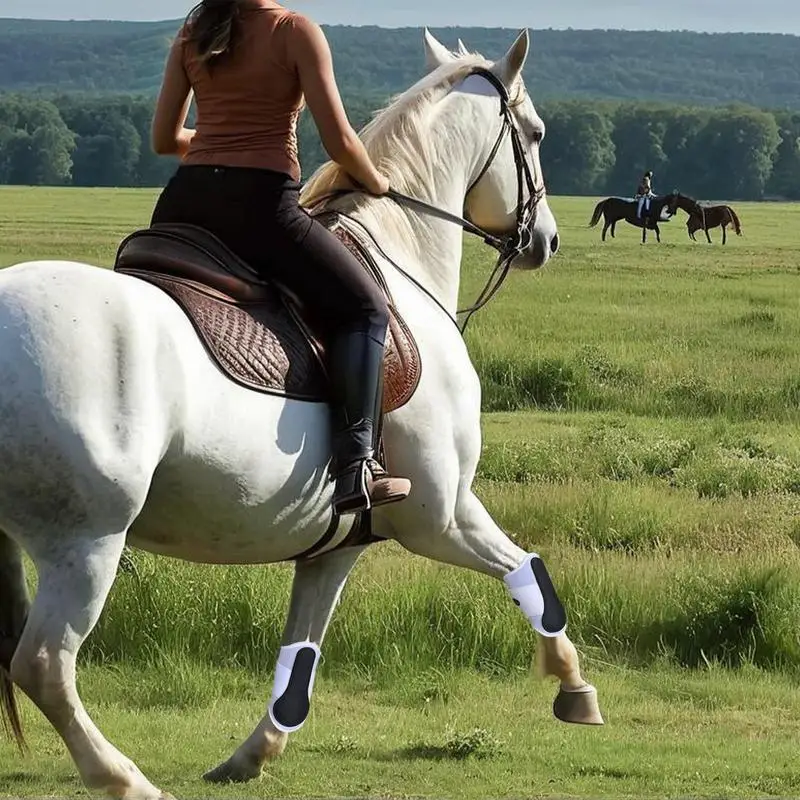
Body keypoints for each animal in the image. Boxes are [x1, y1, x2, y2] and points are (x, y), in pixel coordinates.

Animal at [0, 28, 600, 796]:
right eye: (536, 132)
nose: (545, 240)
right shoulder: (441, 516)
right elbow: (528, 571)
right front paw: (573, 686)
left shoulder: (337, 543)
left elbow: (302, 648)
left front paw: (252, 754)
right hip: (86, 541)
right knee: (45, 664)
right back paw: (122, 776)